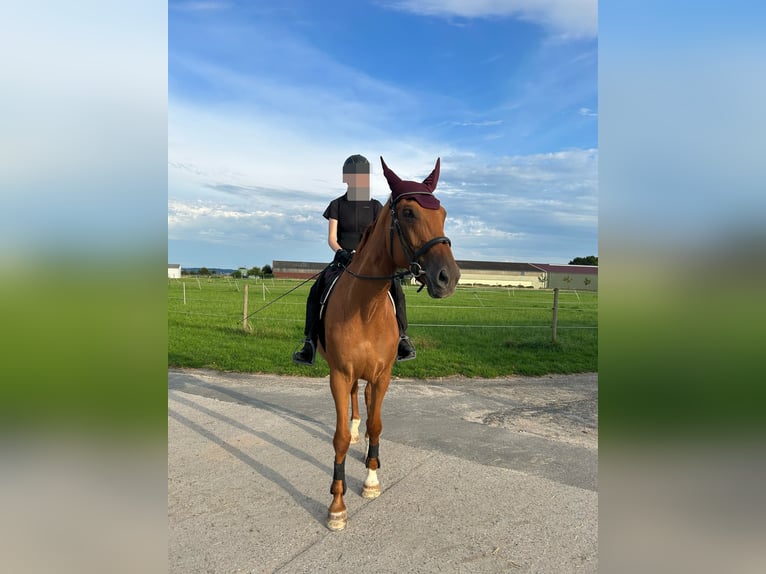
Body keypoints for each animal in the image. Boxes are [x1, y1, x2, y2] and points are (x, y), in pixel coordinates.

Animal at [318, 156, 462, 532]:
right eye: (409, 213)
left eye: (443, 213)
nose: (449, 278)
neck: (365, 306)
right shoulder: (338, 374)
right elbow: (340, 437)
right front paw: (337, 506)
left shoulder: (384, 375)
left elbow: (378, 423)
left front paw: (371, 478)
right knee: (357, 399)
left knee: (368, 402)